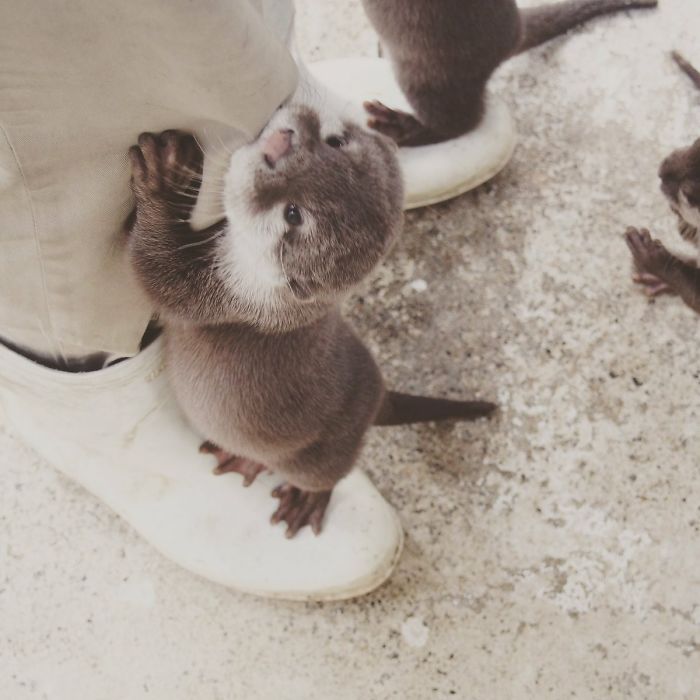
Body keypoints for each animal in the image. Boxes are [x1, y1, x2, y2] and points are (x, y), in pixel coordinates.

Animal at [127, 105, 496, 537]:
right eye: (336, 142)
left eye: (293, 214)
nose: (281, 145)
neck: (264, 295)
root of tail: (378, 400)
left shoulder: (221, 298)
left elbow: (154, 270)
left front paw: (163, 177)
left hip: (321, 453)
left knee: (327, 475)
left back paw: (305, 501)